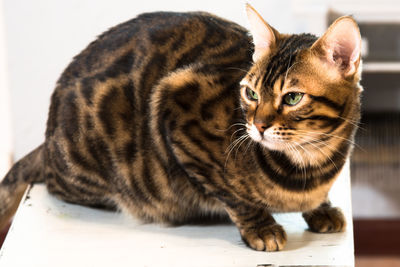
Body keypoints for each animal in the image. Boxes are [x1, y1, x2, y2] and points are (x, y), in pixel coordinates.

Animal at [0, 3, 362, 251]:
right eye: (251, 93)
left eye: (292, 98)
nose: (257, 126)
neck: (311, 165)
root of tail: (47, 136)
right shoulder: (175, 105)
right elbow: (232, 196)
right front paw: (261, 227)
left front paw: (322, 209)